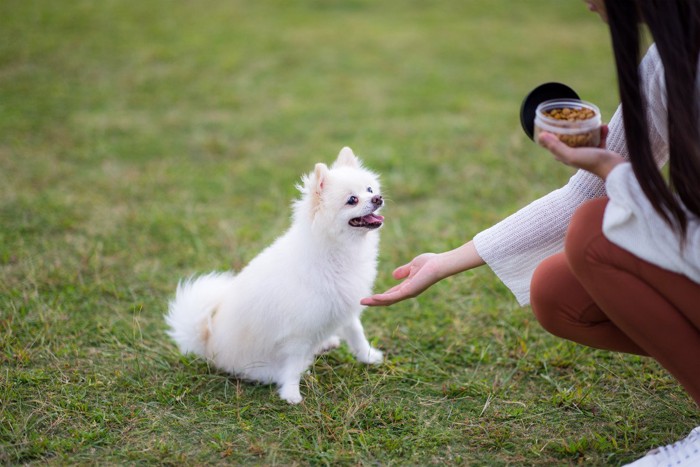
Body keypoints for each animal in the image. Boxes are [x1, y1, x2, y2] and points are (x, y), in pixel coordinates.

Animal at [165, 148, 382, 404]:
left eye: (369, 190)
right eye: (352, 200)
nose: (378, 198)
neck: (337, 252)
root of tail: (208, 343)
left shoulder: (345, 306)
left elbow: (357, 333)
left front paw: (368, 356)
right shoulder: (299, 332)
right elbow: (293, 366)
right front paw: (291, 393)